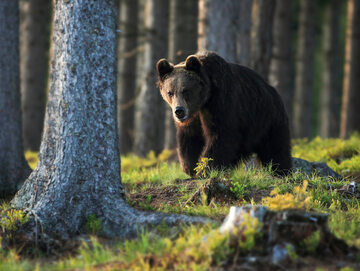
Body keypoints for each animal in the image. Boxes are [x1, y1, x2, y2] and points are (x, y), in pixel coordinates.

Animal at [156, 51, 292, 177]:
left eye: (186, 91)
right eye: (170, 92)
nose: (179, 111)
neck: (203, 101)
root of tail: (273, 90)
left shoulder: (222, 103)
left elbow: (221, 137)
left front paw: (206, 169)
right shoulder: (193, 118)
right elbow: (189, 137)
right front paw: (190, 167)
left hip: (267, 120)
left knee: (276, 149)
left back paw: (281, 171)